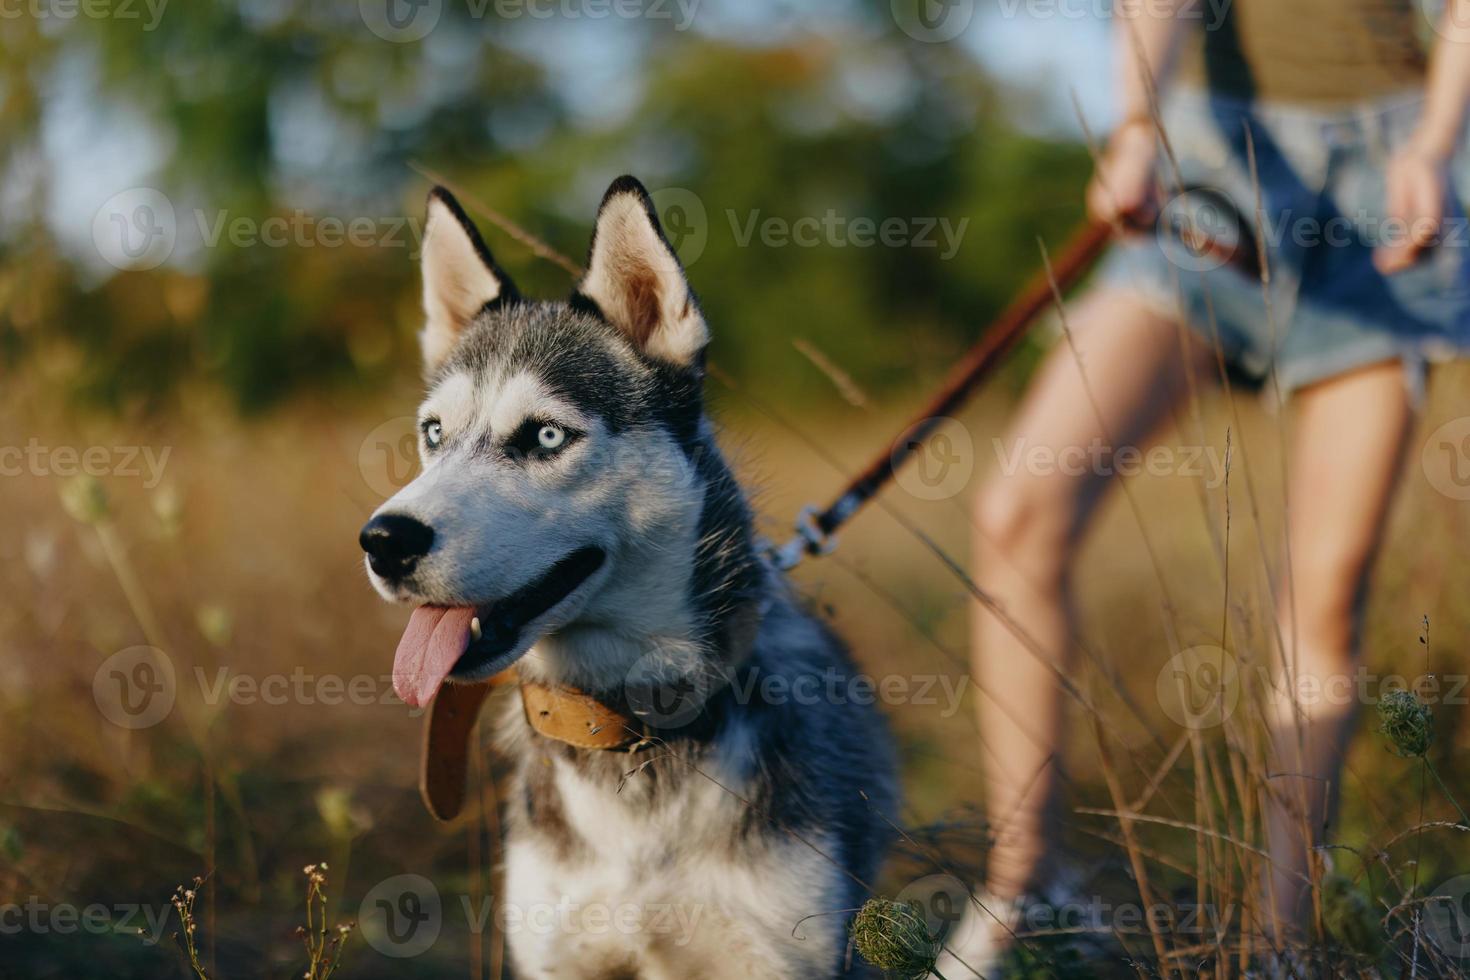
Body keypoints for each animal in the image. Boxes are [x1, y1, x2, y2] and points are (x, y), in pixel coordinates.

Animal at [361, 178, 899, 980]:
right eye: (433, 433)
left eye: (545, 435)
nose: (383, 541)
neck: (631, 725)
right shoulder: (557, 956)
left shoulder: (779, 954)